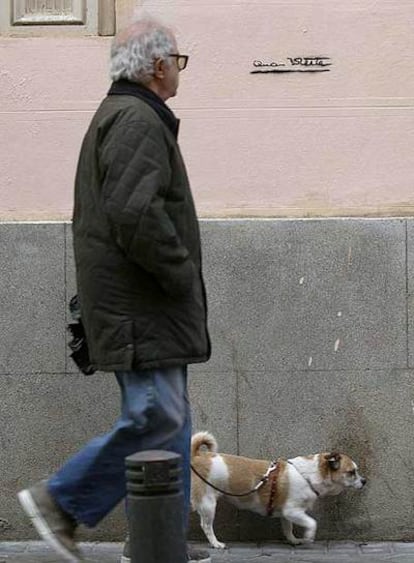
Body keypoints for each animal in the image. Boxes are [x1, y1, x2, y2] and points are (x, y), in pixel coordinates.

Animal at [190, 434, 366, 548]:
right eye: (352, 472)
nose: (364, 481)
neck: (308, 475)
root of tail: (196, 455)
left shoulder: (287, 515)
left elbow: (288, 529)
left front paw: (293, 540)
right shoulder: (293, 511)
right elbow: (312, 522)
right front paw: (308, 536)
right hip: (208, 504)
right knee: (206, 526)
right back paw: (215, 543)